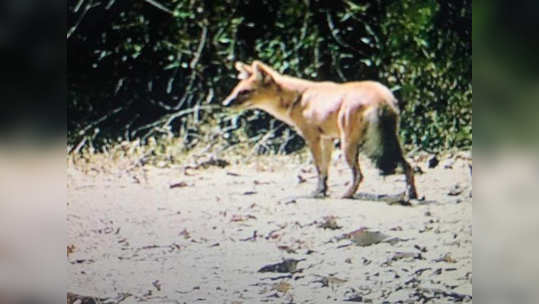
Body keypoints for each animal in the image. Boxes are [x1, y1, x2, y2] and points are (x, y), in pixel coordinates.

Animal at [221, 61, 420, 200]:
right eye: (236, 90)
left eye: (245, 92)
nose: (225, 103)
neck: (298, 98)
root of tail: (382, 98)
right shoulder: (327, 139)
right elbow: (325, 170)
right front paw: (323, 191)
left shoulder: (312, 138)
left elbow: (319, 169)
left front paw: (318, 192)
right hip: (390, 143)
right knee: (408, 167)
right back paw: (411, 195)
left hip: (348, 147)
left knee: (359, 175)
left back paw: (347, 194)